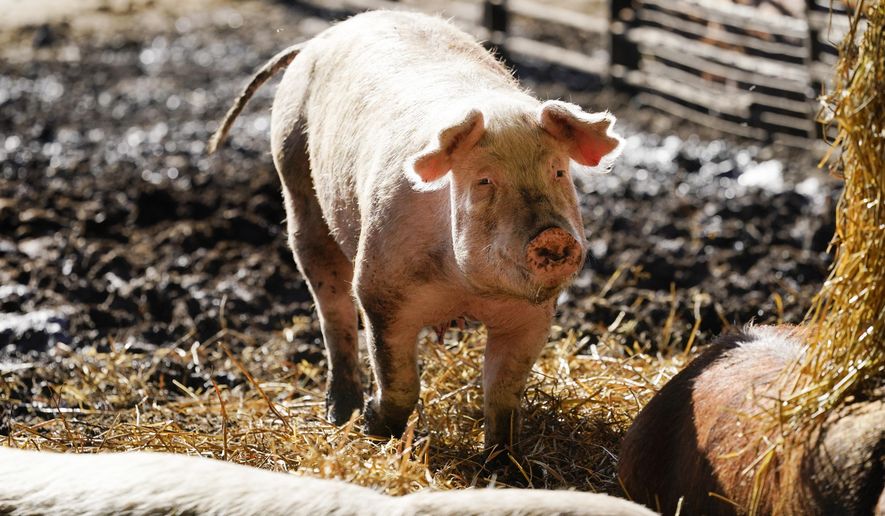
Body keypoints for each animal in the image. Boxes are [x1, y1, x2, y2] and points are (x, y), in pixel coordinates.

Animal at [209, 10, 623, 451]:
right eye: (484, 181)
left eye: (558, 172)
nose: (552, 235)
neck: (465, 290)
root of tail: (319, 39)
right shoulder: (381, 290)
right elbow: (399, 378)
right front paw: (376, 429)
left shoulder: (532, 314)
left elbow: (503, 393)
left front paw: (503, 460)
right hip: (295, 178)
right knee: (332, 306)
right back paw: (341, 413)